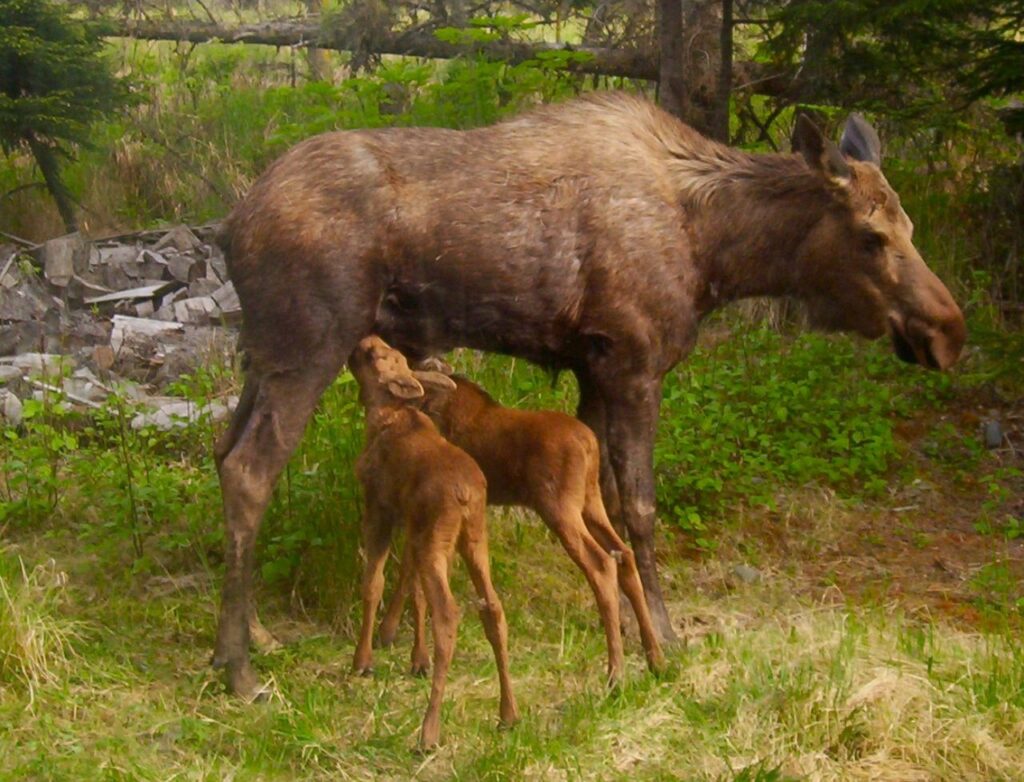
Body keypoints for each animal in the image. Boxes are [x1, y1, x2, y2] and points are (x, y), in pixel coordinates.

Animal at [211, 92, 966, 699]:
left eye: (911, 228)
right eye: (870, 235)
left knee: (223, 453)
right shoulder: (633, 362)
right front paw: (664, 636)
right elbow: (640, 510)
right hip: (308, 345)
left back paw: (254, 637)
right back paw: (239, 666)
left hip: (264, 353)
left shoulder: (592, 367)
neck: (716, 253)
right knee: (251, 470)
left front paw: (630, 631)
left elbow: (603, 506)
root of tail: (230, 224)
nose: (948, 332)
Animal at [347, 335, 518, 749]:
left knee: (449, 613)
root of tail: (465, 495)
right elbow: (413, 591)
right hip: (472, 539)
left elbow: (374, 583)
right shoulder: (413, 524)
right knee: (493, 608)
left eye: (376, 355)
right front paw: (415, 659)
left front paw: (363, 661)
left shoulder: (379, 507)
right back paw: (508, 713)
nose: (364, 340)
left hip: (438, 539)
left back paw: (429, 730)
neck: (380, 415)